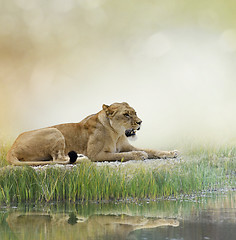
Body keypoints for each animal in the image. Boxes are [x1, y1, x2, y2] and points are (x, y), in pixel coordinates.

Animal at [6, 101, 178, 165]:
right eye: (126, 115)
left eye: (135, 113)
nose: (140, 122)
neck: (117, 133)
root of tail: (11, 148)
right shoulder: (98, 154)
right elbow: (124, 155)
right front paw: (140, 155)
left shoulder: (126, 146)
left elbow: (152, 149)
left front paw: (170, 152)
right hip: (54, 130)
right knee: (58, 158)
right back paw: (82, 157)